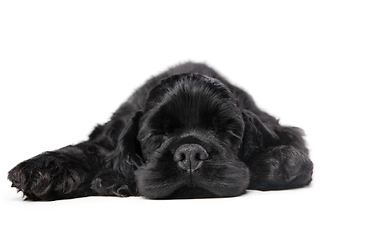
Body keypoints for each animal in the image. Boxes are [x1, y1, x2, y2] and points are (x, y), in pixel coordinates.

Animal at [7, 62, 314, 201]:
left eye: (223, 130)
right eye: (157, 134)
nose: (190, 154)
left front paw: (280, 162)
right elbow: (91, 149)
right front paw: (44, 169)